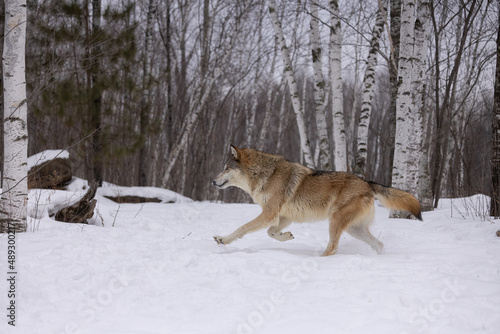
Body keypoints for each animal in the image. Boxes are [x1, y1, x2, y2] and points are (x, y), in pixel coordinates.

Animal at [211, 145, 422, 258]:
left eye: (225, 168)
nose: (212, 181)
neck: (265, 175)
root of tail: (368, 183)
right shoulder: (283, 216)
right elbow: (271, 232)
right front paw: (286, 236)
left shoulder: (269, 213)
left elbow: (242, 228)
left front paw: (223, 239)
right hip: (354, 229)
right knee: (379, 244)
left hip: (335, 222)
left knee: (332, 248)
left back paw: (320, 260)